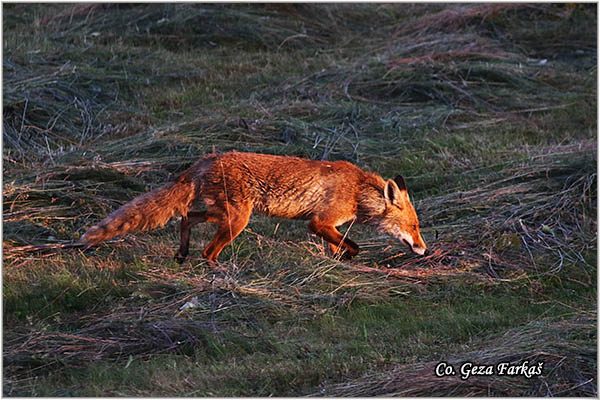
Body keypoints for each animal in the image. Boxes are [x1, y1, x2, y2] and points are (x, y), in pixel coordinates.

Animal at [81, 151, 426, 262]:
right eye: (414, 226)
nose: (423, 249)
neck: (356, 191)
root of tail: (206, 160)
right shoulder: (318, 222)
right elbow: (352, 245)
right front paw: (349, 257)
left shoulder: (329, 226)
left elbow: (337, 246)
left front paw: (337, 263)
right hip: (236, 221)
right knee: (208, 251)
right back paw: (220, 273)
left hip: (223, 215)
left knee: (186, 217)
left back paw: (182, 253)